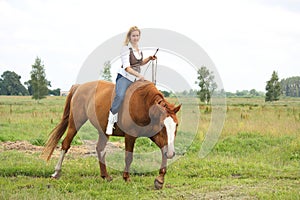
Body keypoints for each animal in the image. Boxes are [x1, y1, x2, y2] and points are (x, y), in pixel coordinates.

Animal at [39, 79, 180, 189]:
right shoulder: (130, 136)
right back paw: (56, 172)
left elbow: (164, 152)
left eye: (176, 125)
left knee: (99, 149)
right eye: (162, 125)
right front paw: (126, 178)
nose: (172, 153)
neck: (144, 104)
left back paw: (105, 175)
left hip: (103, 131)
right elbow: (129, 157)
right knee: (66, 144)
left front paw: (160, 180)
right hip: (75, 123)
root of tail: (79, 87)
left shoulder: (155, 135)